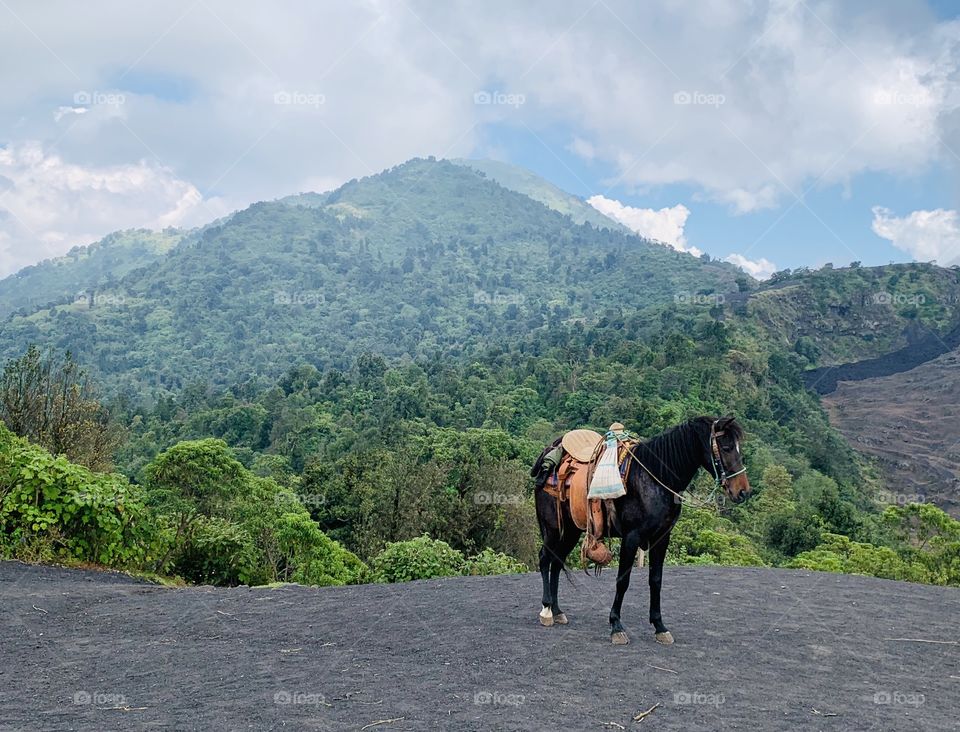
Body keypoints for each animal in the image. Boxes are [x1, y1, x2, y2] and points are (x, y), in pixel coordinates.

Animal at [532, 414, 752, 644]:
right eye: (726, 447)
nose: (743, 491)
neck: (655, 478)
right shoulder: (631, 537)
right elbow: (623, 580)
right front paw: (616, 626)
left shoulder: (662, 537)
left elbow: (655, 580)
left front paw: (659, 626)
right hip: (553, 528)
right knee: (545, 559)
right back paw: (546, 610)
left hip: (571, 530)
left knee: (557, 562)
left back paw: (557, 610)